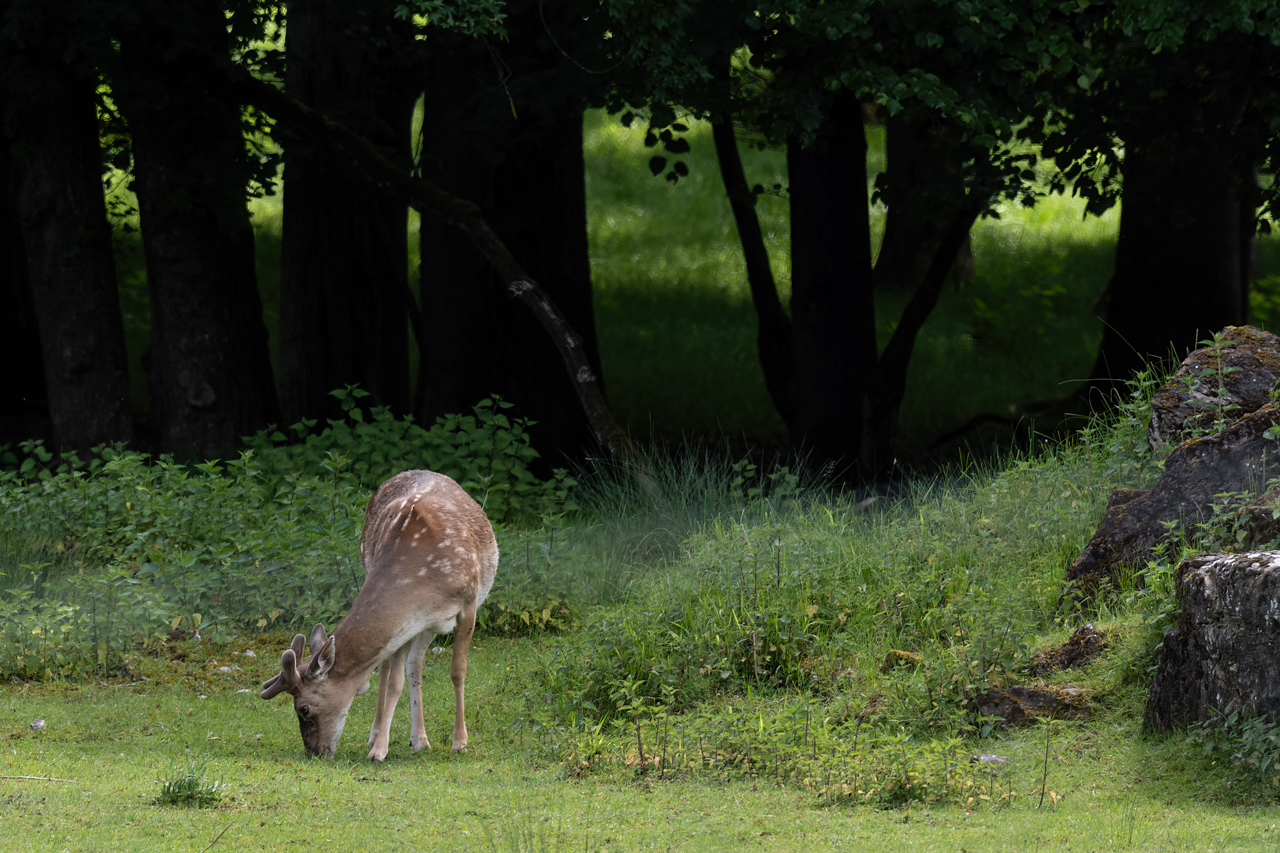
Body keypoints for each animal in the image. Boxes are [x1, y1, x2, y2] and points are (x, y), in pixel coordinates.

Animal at [261, 468, 499, 758]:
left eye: (303, 708)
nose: (313, 752)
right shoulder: (407, 621)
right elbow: (394, 681)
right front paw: (379, 750)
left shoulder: (468, 606)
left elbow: (457, 672)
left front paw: (460, 742)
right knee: (395, 667)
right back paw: (389, 736)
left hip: (428, 624)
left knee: (414, 664)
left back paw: (420, 739)